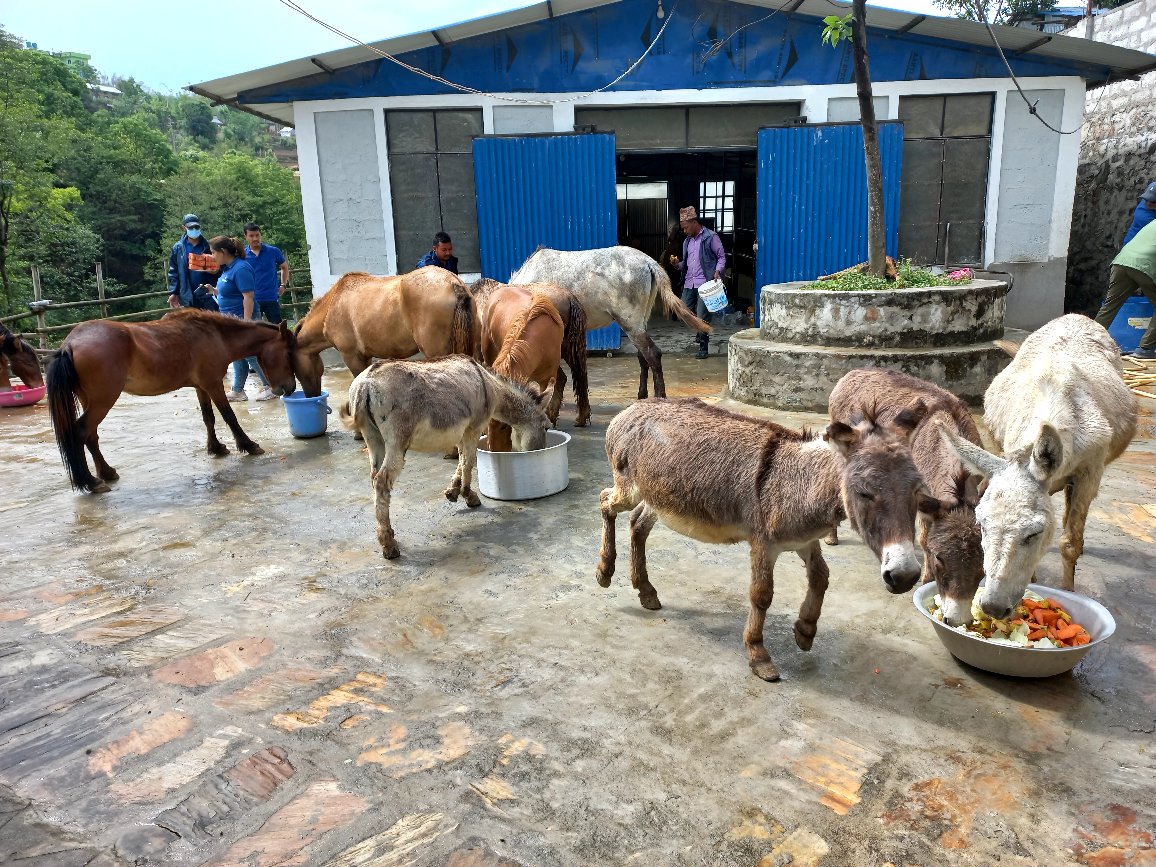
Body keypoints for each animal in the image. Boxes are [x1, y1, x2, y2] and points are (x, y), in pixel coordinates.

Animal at [47, 309, 298, 494]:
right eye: (288, 353)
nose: (289, 388)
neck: (215, 335)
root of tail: (69, 345)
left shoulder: (201, 387)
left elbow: (208, 418)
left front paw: (216, 448)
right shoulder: (214, 385)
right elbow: (229, 416)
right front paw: (248, 445)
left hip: (90, 401)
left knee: (91, 436)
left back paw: (106, 473)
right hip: (102, 402)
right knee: (80, 433)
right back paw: (91, 482)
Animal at [291, 268, 476, 397]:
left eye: (294, 366)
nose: (311, 395)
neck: (333, 304)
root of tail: (453, 284)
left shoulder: (351, 356)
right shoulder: (364, 356)